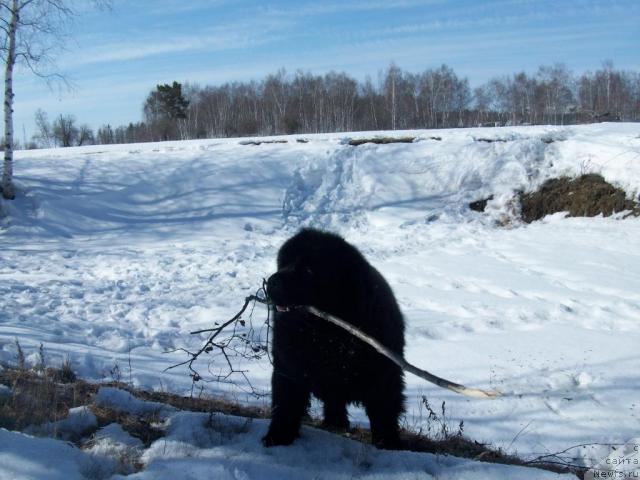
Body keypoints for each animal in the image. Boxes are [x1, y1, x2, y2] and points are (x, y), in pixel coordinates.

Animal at [264, 229, 404, 450]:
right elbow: (285, 402)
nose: (271, 281)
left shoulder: (384, 375)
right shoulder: (287, 366)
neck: (328, 335)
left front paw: (389, 443)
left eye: (309, 270)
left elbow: (385, 410)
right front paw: (278, 436)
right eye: (284, 262)